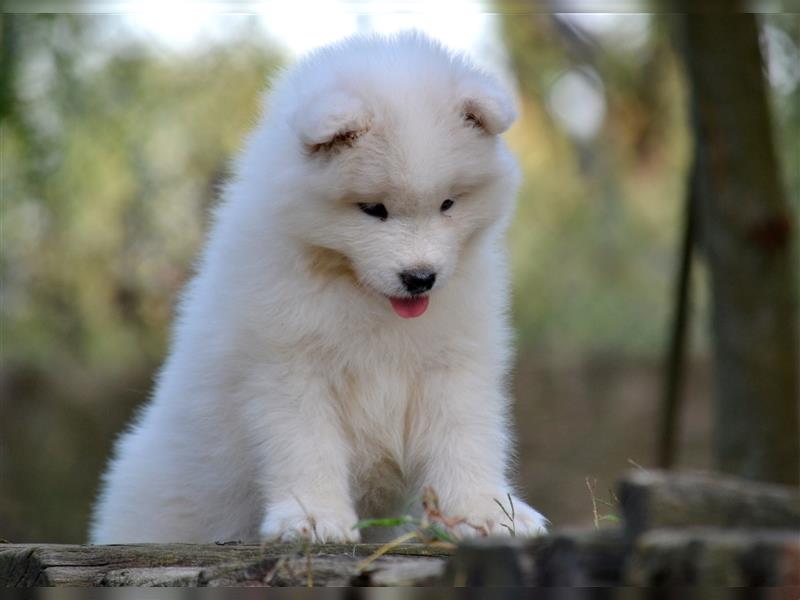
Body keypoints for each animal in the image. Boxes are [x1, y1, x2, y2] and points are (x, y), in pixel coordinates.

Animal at [90, 31, 548, 544]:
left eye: (448, 203)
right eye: (373, 209)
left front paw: (484, 513)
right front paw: (313, 518)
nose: (420, 278)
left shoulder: (454, 363)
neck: (361, 295)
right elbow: (306, 447)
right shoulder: (288, 369)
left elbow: (466, 438)